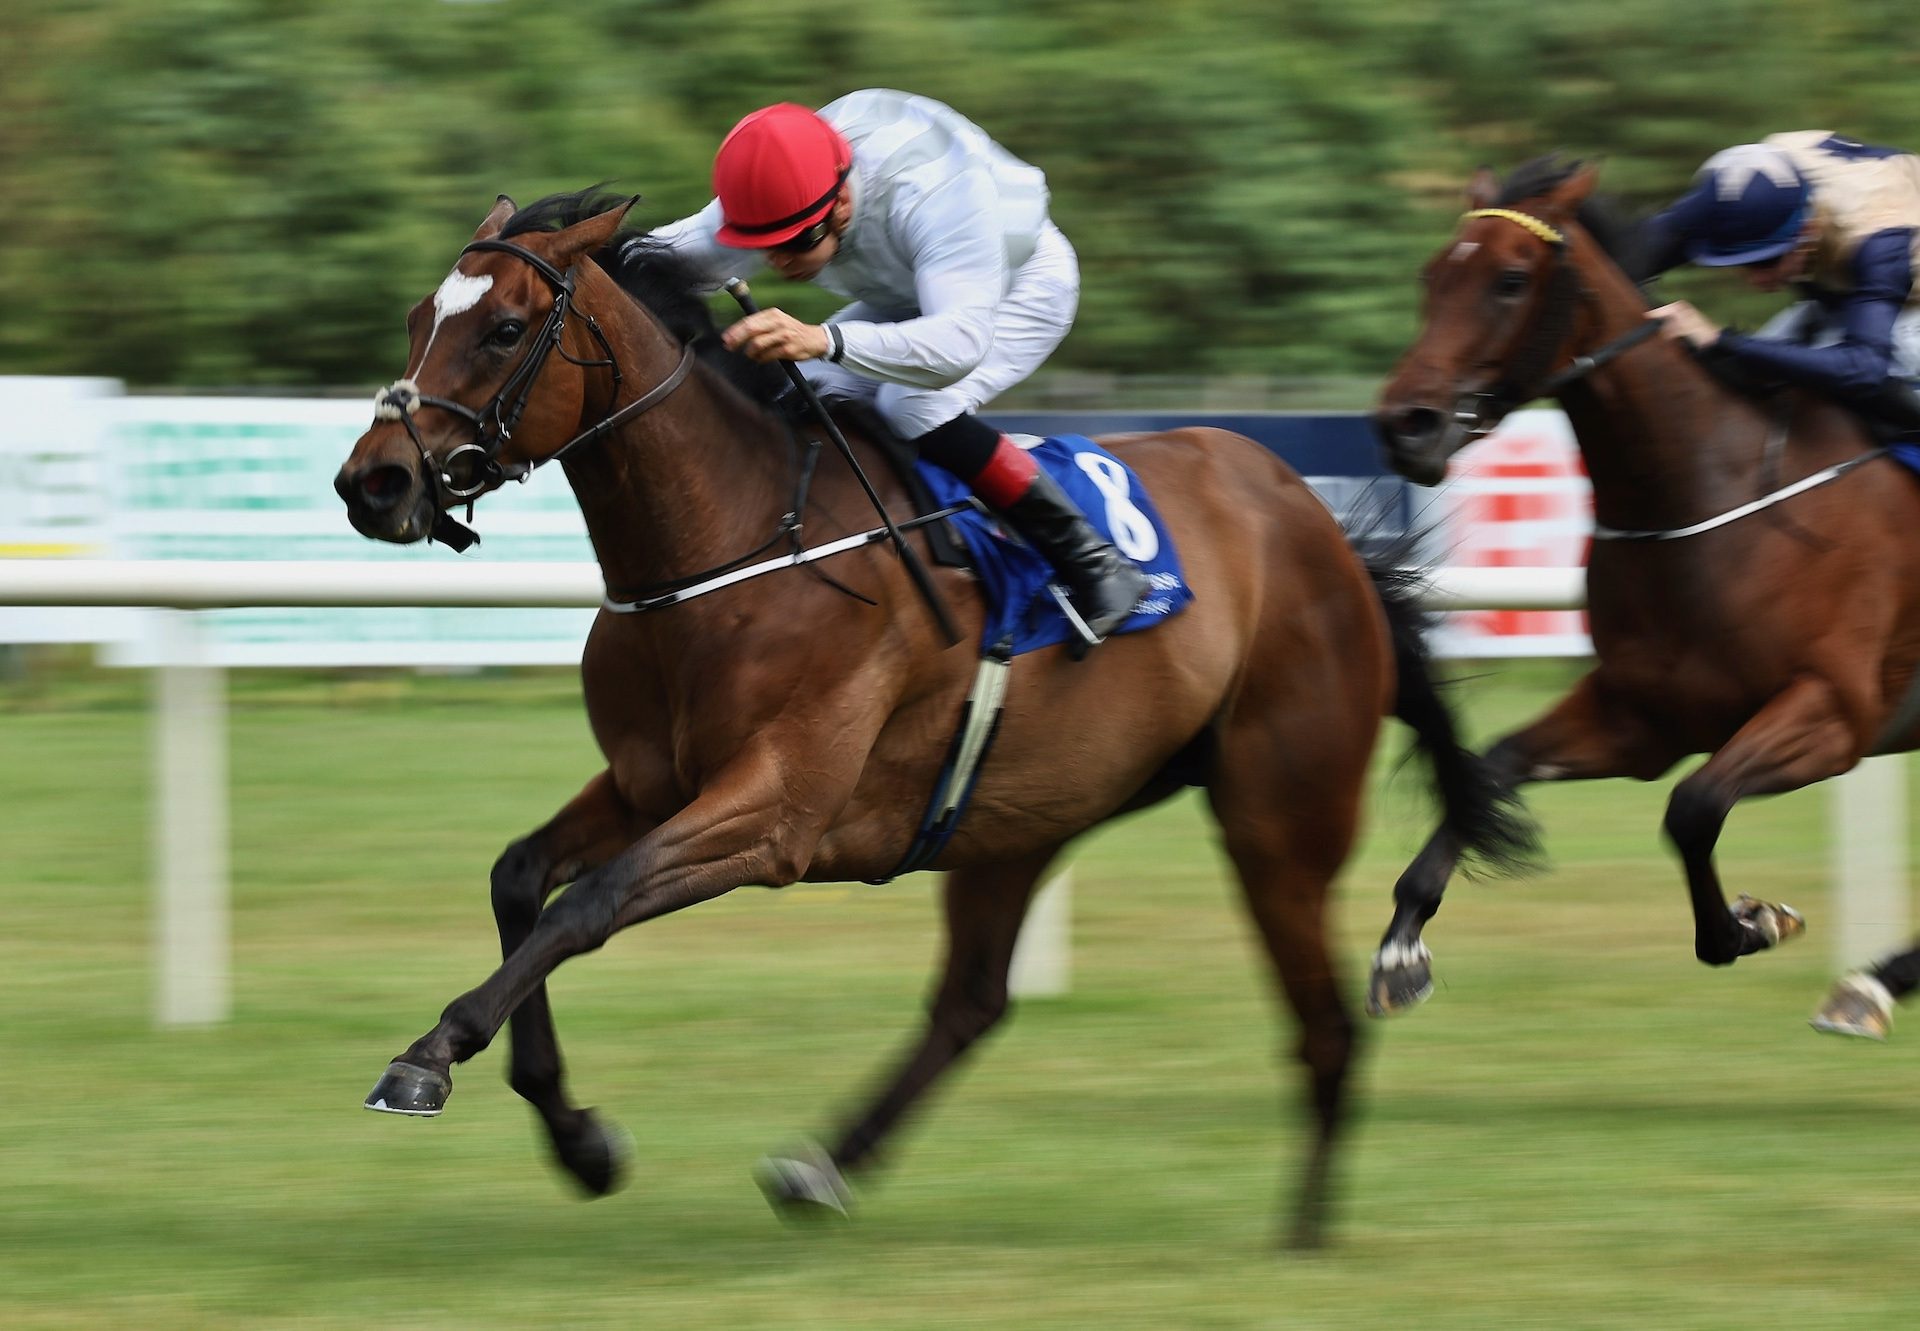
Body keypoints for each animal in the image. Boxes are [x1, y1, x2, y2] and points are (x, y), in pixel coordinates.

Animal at [334, 187, 1528, 1244]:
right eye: (418, 319)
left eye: (501, 329)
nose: (372, 484)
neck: (733, 543)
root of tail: (1315, 524)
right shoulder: (647, 782)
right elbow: (521, 880)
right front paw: (579, 1137)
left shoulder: (775, 813)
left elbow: (590, 905)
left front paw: (429, 1056)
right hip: (1019, 814)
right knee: (973, 999)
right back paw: (823, 1166)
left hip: (1279, 815)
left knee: (1322, 1022)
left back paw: (1305, 1230)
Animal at [1374, 158, 1912, 1014]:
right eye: (1433, 275)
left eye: (1511, 280)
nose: (1405, 425)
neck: (1710, 495)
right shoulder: (1642, 715)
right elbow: (1488, 768)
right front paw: (1400, 949)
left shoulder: (1836, 712)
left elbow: (1693, 807)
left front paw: (1751, 923)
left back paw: (1872, 984)